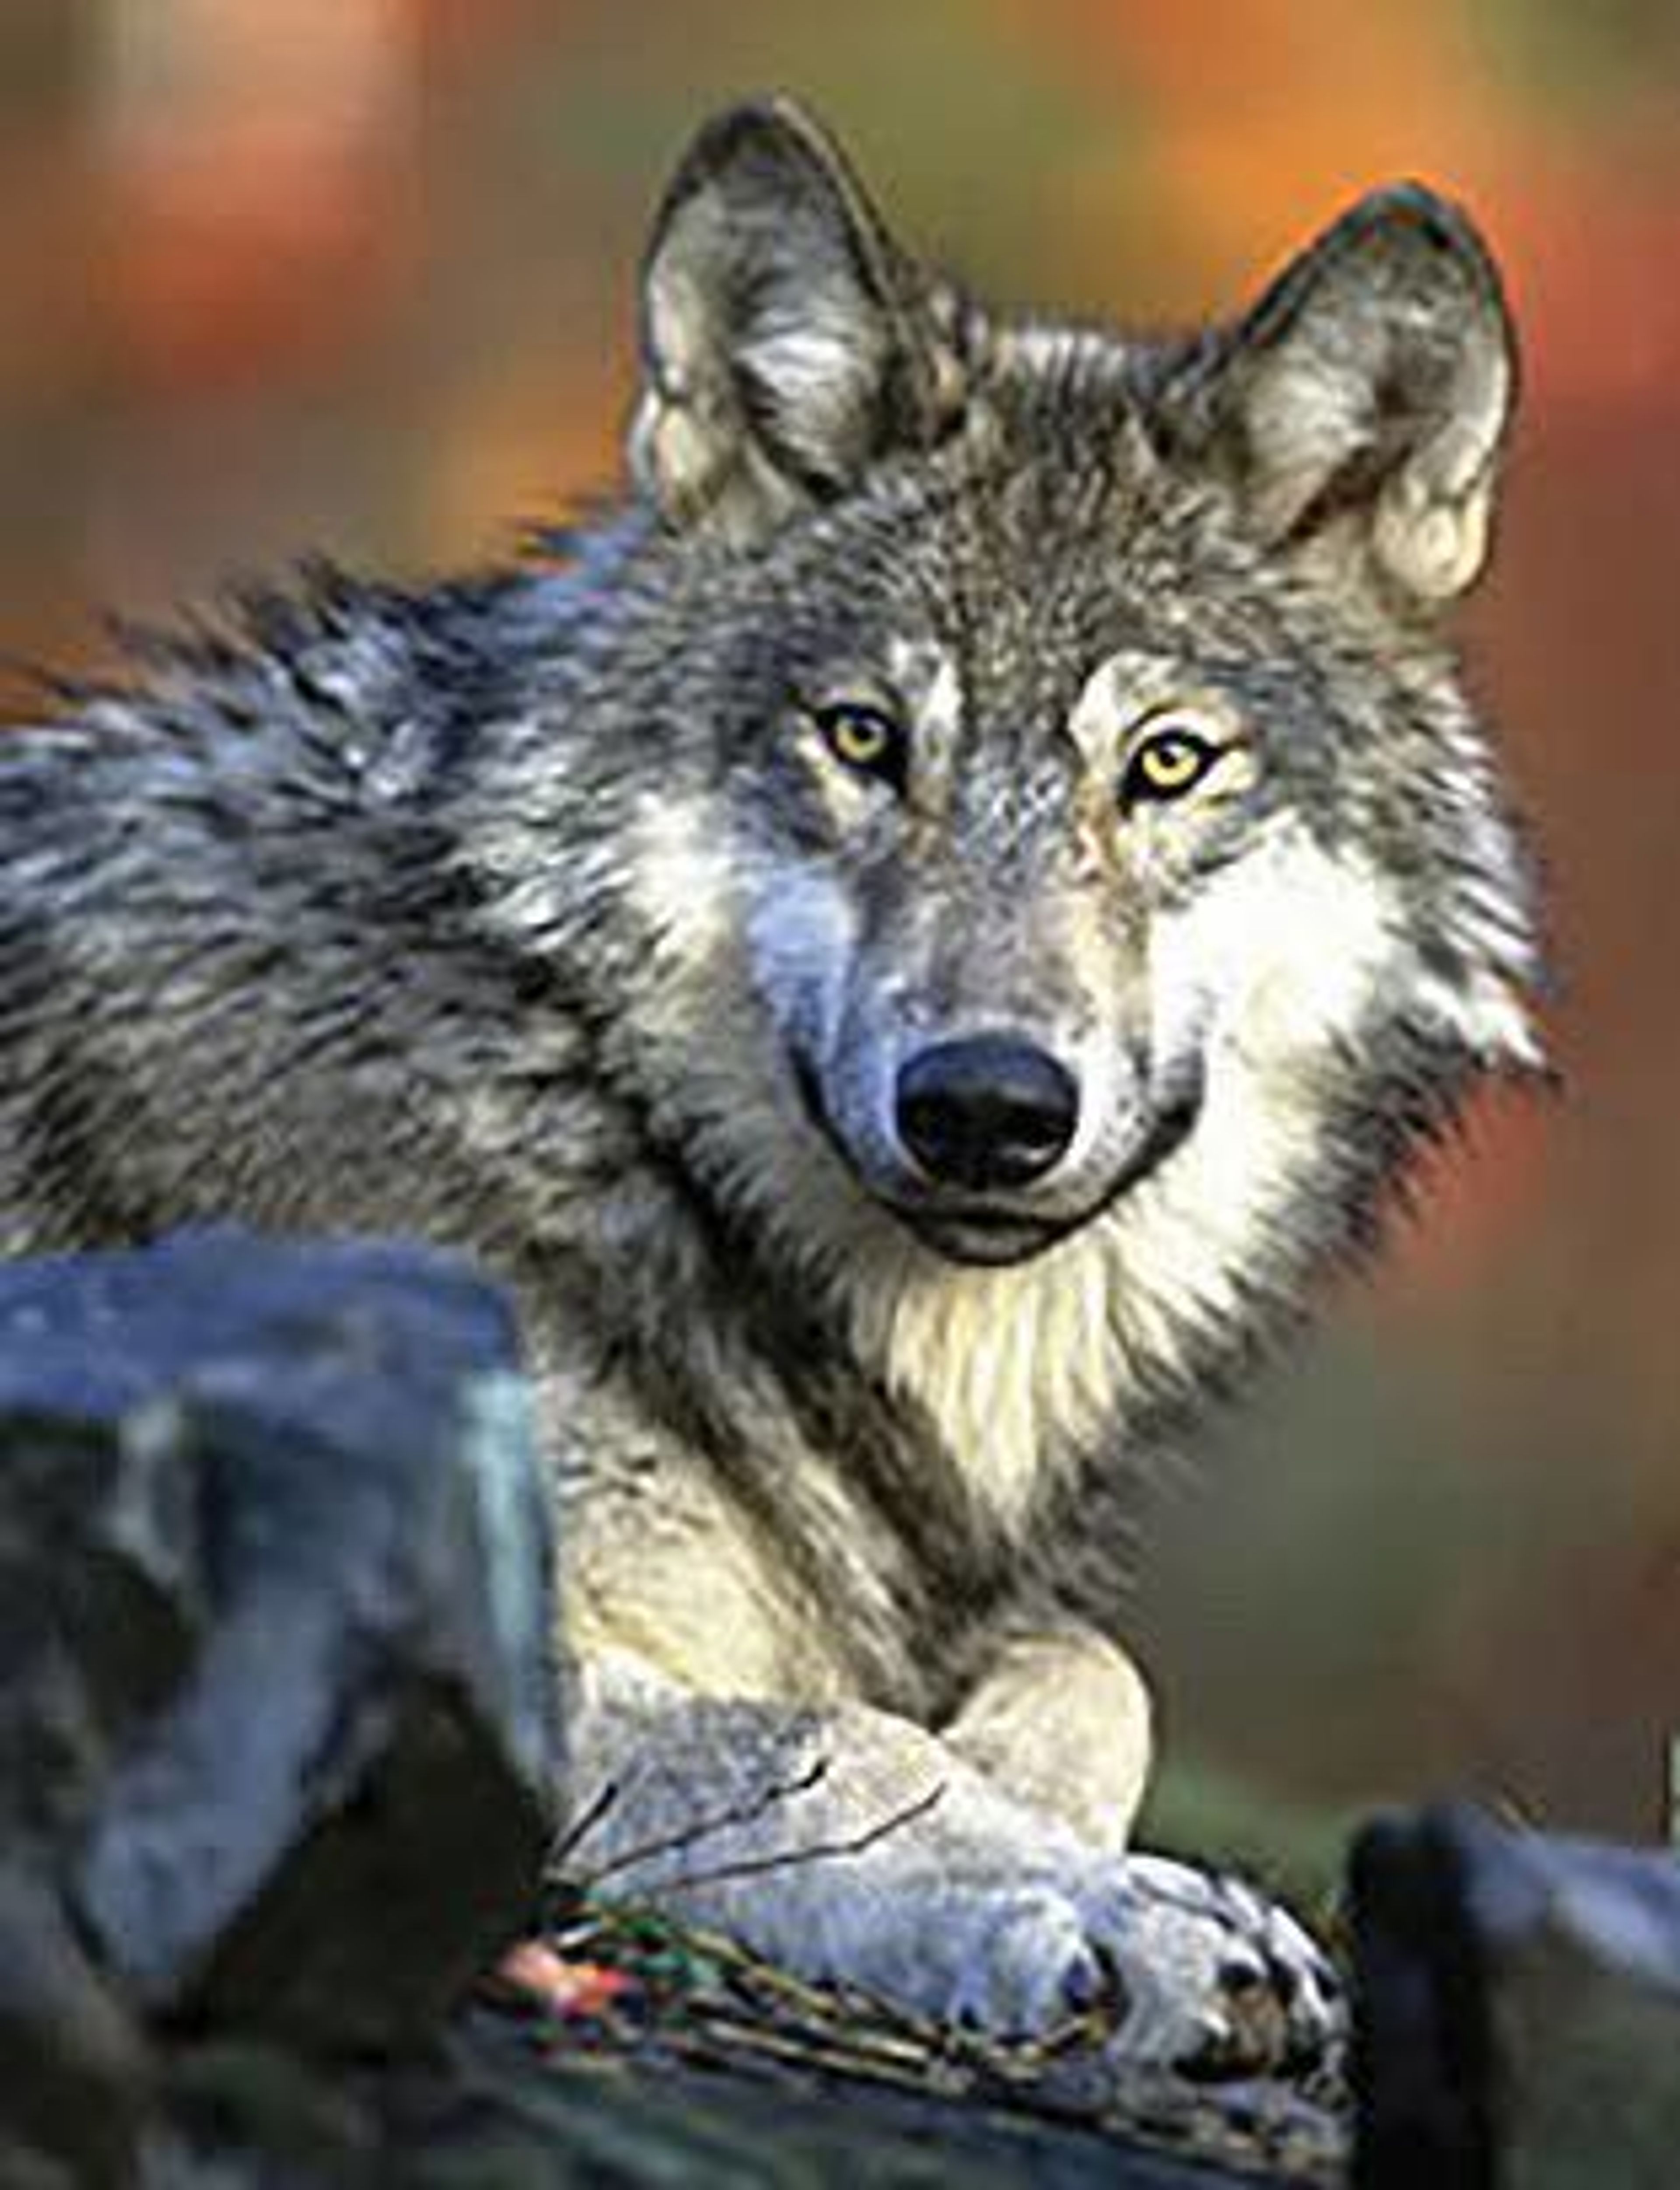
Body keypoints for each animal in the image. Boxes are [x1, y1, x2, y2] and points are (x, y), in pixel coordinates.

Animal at [0, 98, 1550, 2067]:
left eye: (1169, 763)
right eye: (865, 740)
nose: (987, 1106)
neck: (589, 1099)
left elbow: (1095, 1670)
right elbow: (828, 1738)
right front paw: (1104, 1909)